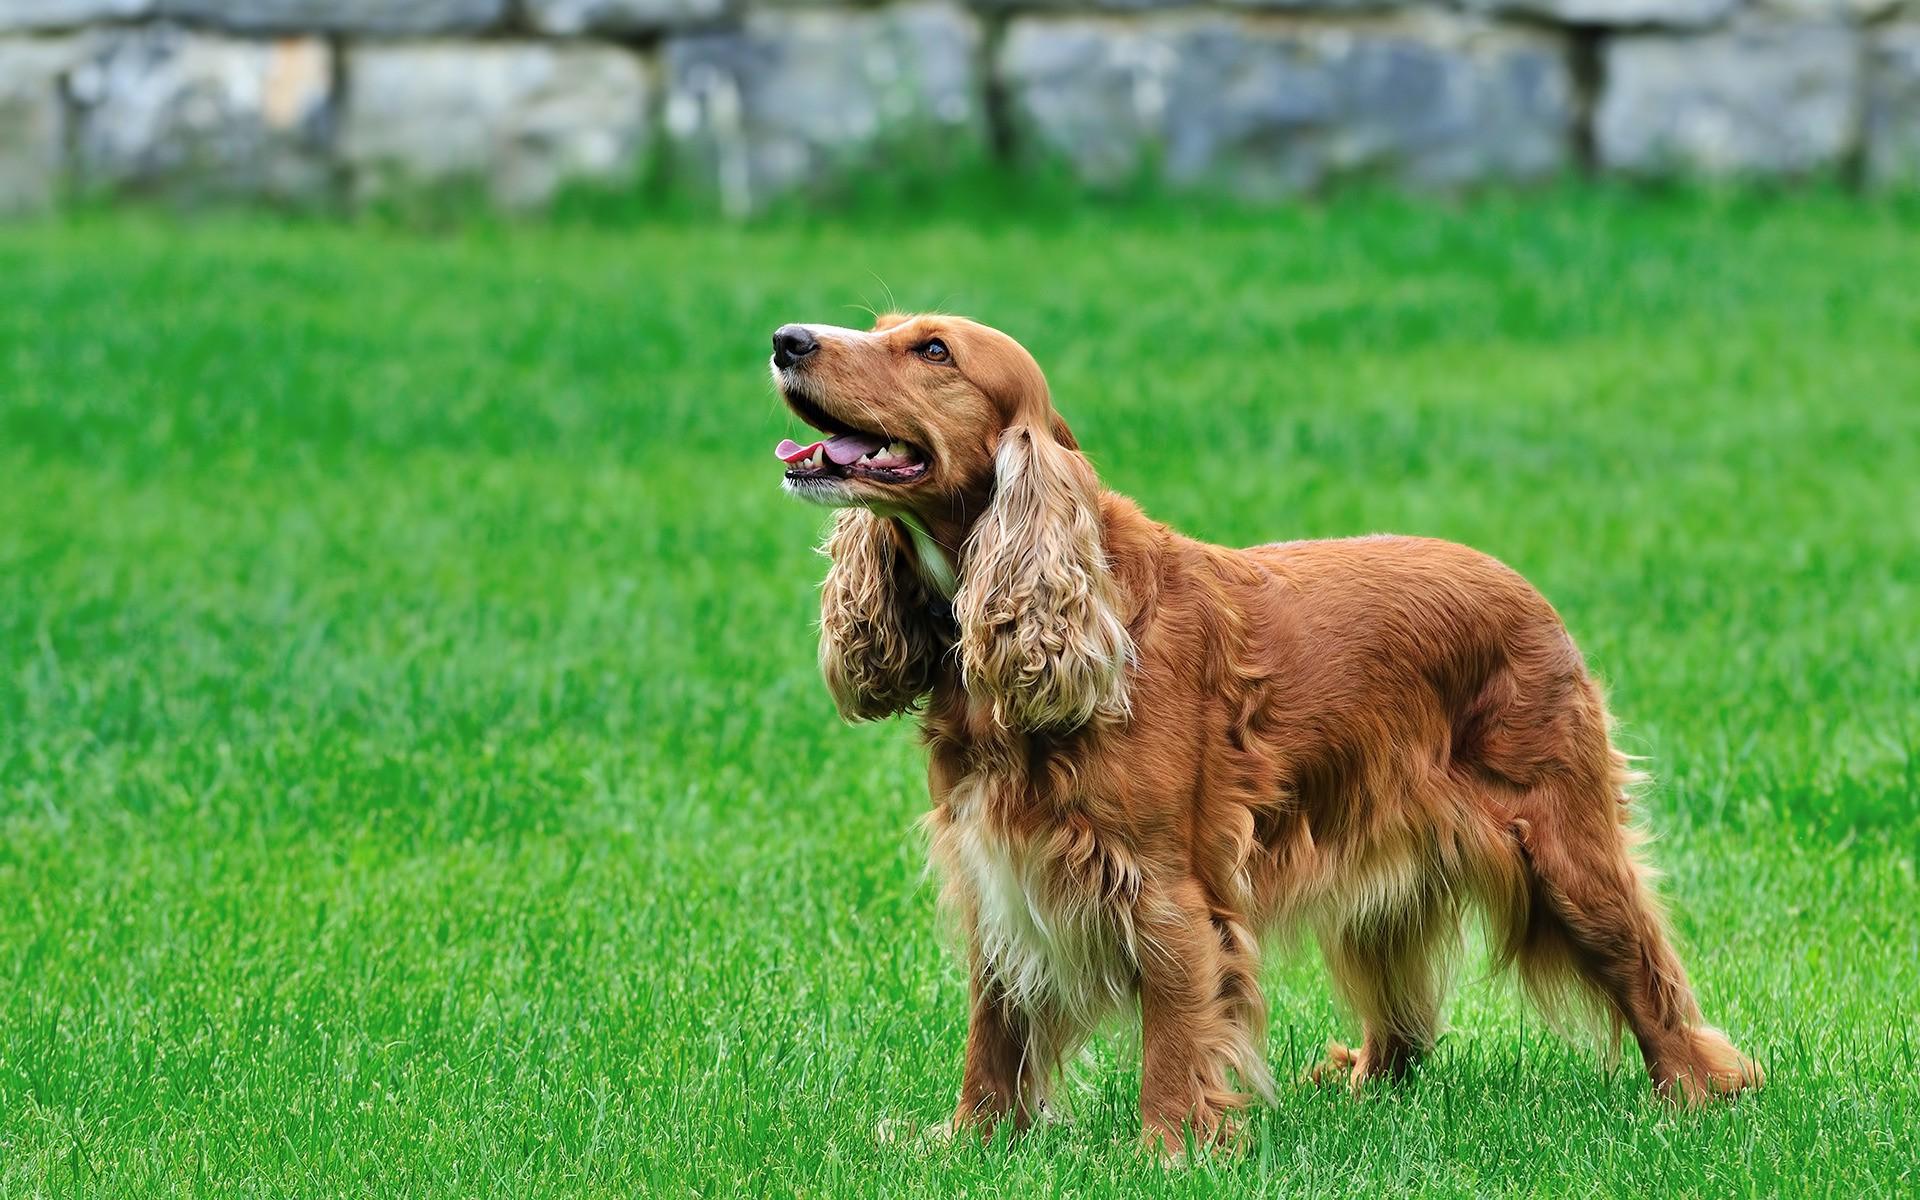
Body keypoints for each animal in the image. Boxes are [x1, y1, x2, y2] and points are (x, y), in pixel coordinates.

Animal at [764, 311, 1758, 1152]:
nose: (786, 338)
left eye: (933, 351)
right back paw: (1362, 1083)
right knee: (1404, 1019)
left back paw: (1694, 1095)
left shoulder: (1162, 884)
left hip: (1561, 844)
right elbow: (994, 1025)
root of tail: (1527, 591)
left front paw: (1167, 1151)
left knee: (1649, 975)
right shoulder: (999, 868)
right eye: (881, 326)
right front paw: (972, 1140)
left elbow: (1174, 1028)